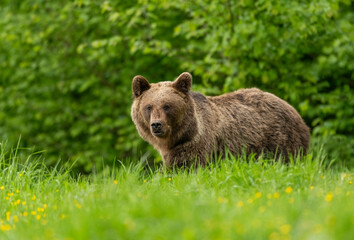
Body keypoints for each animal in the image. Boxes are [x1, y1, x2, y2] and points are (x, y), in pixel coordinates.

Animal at [131, 72, 310, 168]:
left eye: (167, 106)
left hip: (280, 139)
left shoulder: (196, 145)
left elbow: (186, 167)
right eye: (149, 107)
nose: (156, 125)